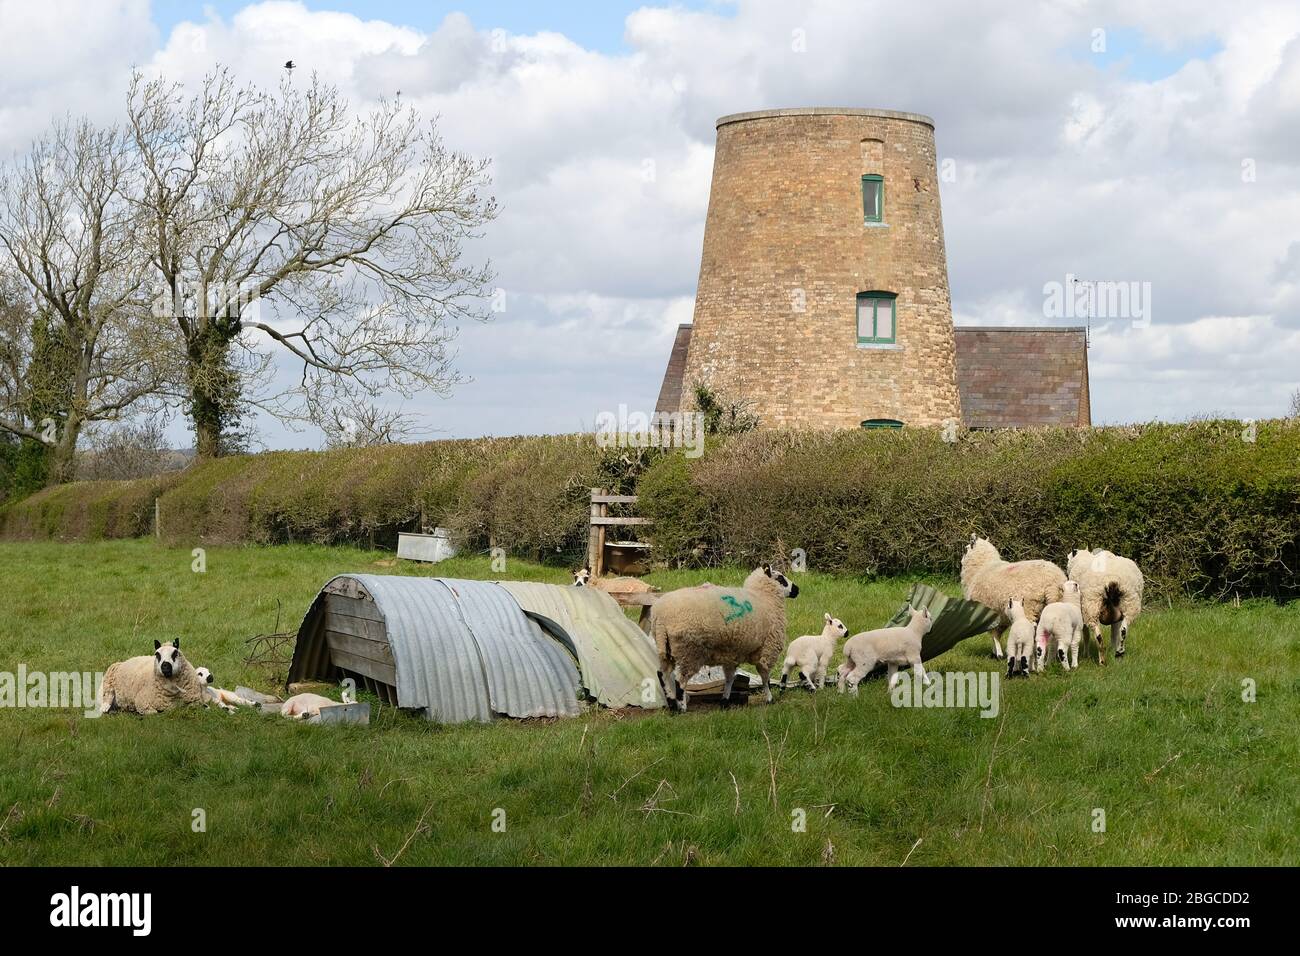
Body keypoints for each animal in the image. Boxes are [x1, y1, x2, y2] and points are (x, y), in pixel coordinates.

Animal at [655, 564, 795, 712]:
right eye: (780, 578)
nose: (797, 589)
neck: (764, 596)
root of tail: (660, 618)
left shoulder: (732, 653)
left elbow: (729, 678)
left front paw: (725, 701)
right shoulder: (768, 649)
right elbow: (765, 677)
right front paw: (769, 699)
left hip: (666, 650)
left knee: (662, 674)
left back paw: (671, 703)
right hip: (688, 651)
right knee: (679, 680)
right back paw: (681, 707)